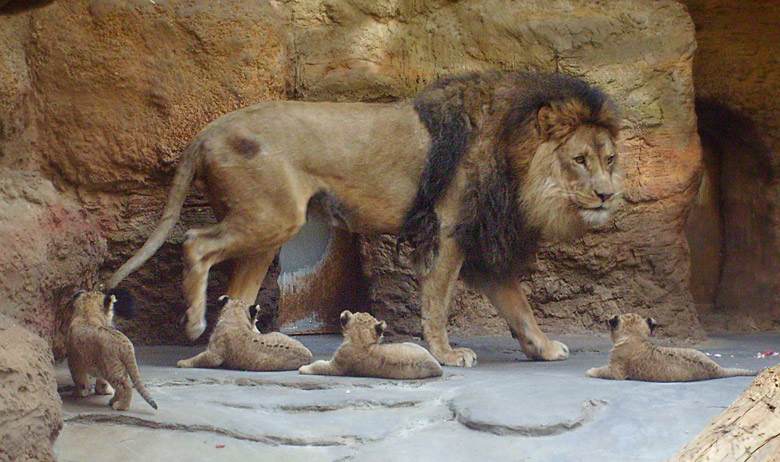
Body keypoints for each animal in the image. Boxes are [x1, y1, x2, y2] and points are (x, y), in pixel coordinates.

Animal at [108, 71, 620, 368]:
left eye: (610, 158)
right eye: (579, 159)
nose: (607, 195)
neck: (515, 155)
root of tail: (206, 131)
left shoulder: (478, 244)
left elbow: (518, 305)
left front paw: (543, 348)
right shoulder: (448, 231)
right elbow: (437, 302)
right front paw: (446, 354)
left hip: (268, 226)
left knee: (238, 293)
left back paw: (253, 346)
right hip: (271, 217)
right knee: (195, 242)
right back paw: (195, 323)